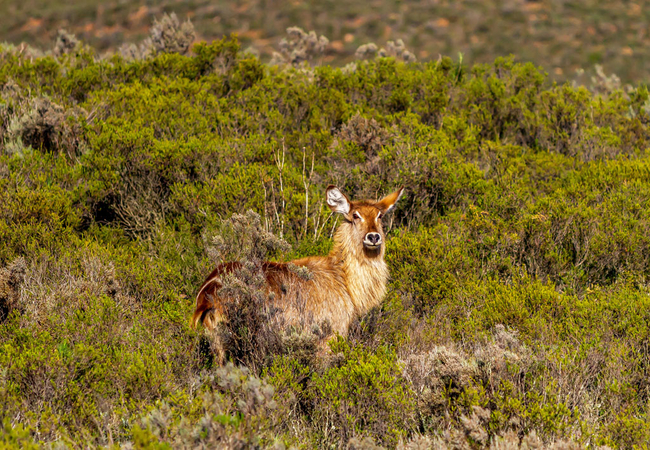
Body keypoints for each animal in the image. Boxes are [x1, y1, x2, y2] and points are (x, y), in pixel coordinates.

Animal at [190, 185, 402, 356]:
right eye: (355, 216)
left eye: (380, 216)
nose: (373, 237)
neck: (344, 280)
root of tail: (206, 294)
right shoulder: (330, 335)